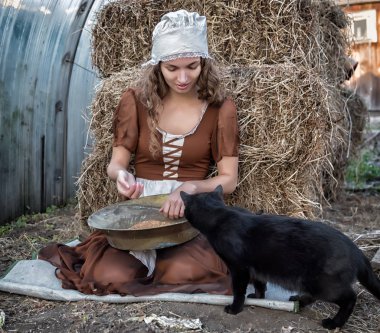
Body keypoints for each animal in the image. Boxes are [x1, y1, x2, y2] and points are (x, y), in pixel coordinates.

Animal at [179, 185, 380, 328]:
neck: (221, 215)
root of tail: (357, 250)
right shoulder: (255, 267)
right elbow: (260, 284)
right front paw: (258, 297)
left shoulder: (239, 268)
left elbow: (238, 290)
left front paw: (235, 308)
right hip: (310, 282)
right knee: (315, 296)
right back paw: (298, 300)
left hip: (324, 284)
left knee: (350, 298)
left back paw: (333, 323)